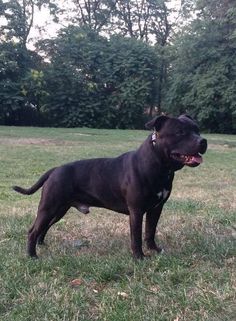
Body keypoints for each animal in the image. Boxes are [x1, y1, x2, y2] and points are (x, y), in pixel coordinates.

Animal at [12, 114, 206, 258]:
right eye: (179, 132)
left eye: (197, 129)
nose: (203, 141)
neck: (158, 164)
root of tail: (55, 169)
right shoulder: (136, 211)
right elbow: (136, 236)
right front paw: (139, 257)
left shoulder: (156, 209)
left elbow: (150, 231)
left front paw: (154, 250)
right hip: (49, 207)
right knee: (33, 230)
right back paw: (32, 256)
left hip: (59, 209)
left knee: (44, 227)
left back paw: (41, 244)